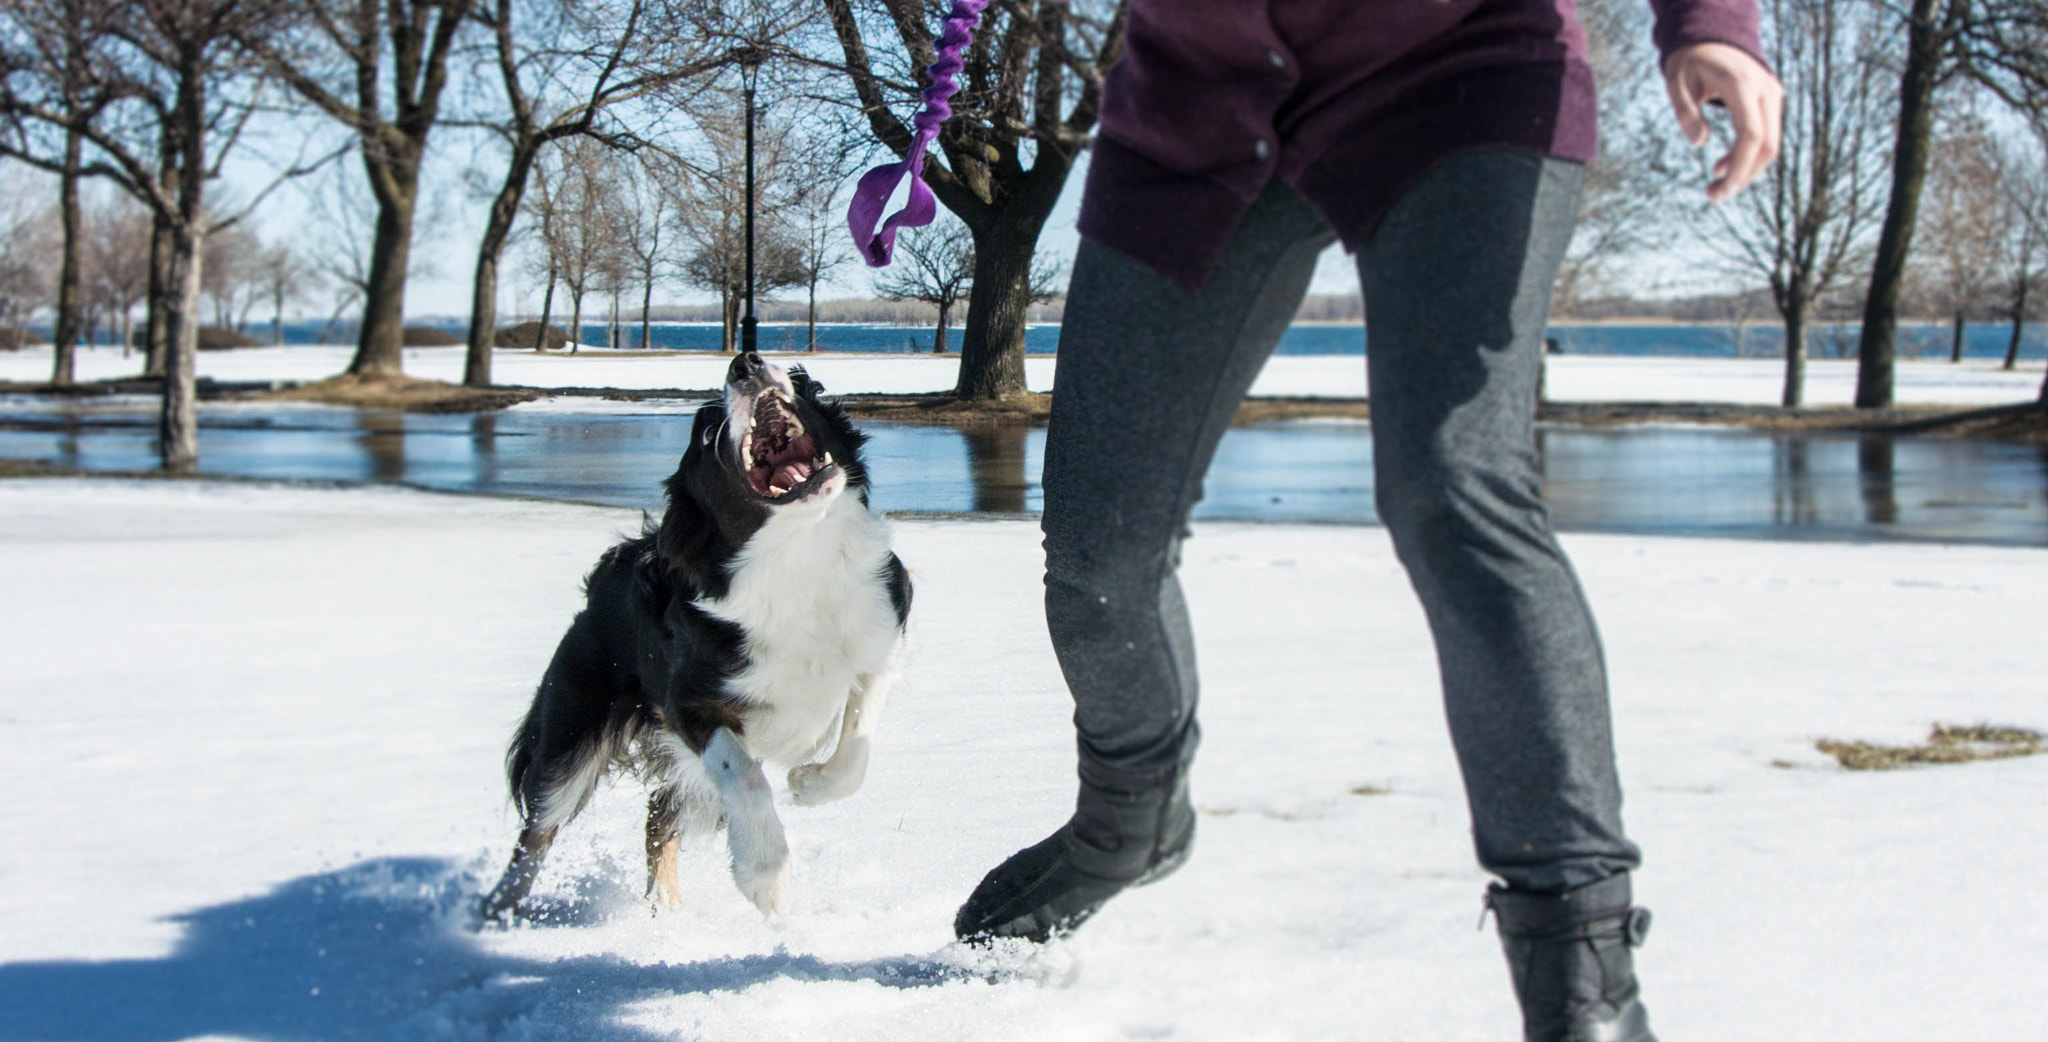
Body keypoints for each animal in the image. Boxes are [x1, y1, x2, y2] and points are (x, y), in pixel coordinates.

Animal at [481, 356, 913, 917]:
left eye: (800, 382)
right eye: (707, 434)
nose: (745, 361)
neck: (798, 557)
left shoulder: (882, 637)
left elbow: (853, 756)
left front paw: (807, 783)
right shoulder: (687, 704)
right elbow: (743, 772)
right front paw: (764, 874)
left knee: (658, 811)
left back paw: (667, 912)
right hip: (572, 735)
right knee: (537, 831)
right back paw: (500, 913)